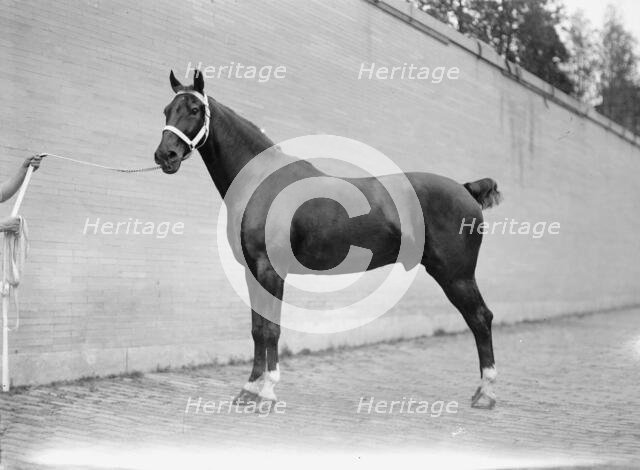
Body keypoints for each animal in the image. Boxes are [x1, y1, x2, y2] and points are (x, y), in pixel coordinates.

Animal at [154, 70, 502, 409]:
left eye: (195, 109)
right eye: (167, 110)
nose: (164, 155)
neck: (262, 182)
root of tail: (466, 189)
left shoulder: (270, 271)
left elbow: (272, 329)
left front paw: (267, 393)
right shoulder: (252, 271)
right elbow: (257, 329)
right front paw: (249, 390)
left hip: (456, 275)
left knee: (480, 318)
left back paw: (486, 393)